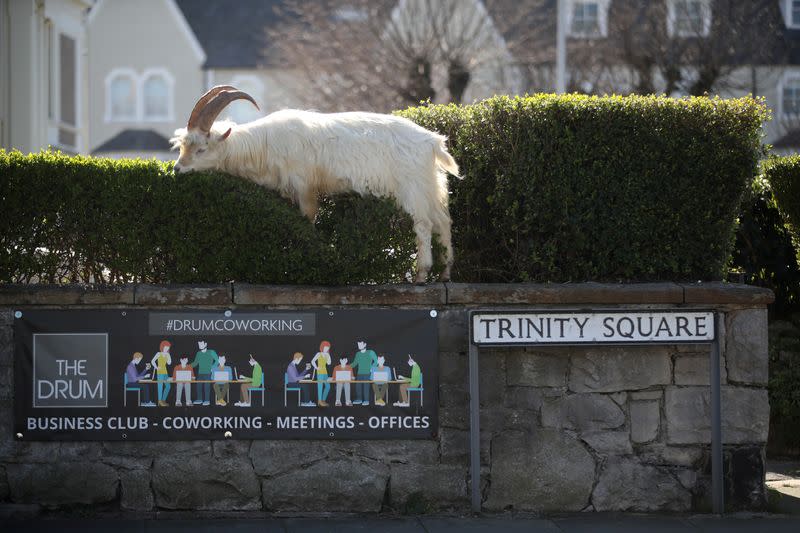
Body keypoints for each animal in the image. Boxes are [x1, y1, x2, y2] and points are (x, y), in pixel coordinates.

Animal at [172, 84, 460, 280]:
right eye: (182, 146)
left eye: (201, 149)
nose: (177, 169)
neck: (264, 145)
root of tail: (432, 142)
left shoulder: (305, 187)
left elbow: (308, 220)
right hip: (432, 184)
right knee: (443, 221)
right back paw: (445, 273)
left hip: (413, 188)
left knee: (423, 225)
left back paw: (421, 275)